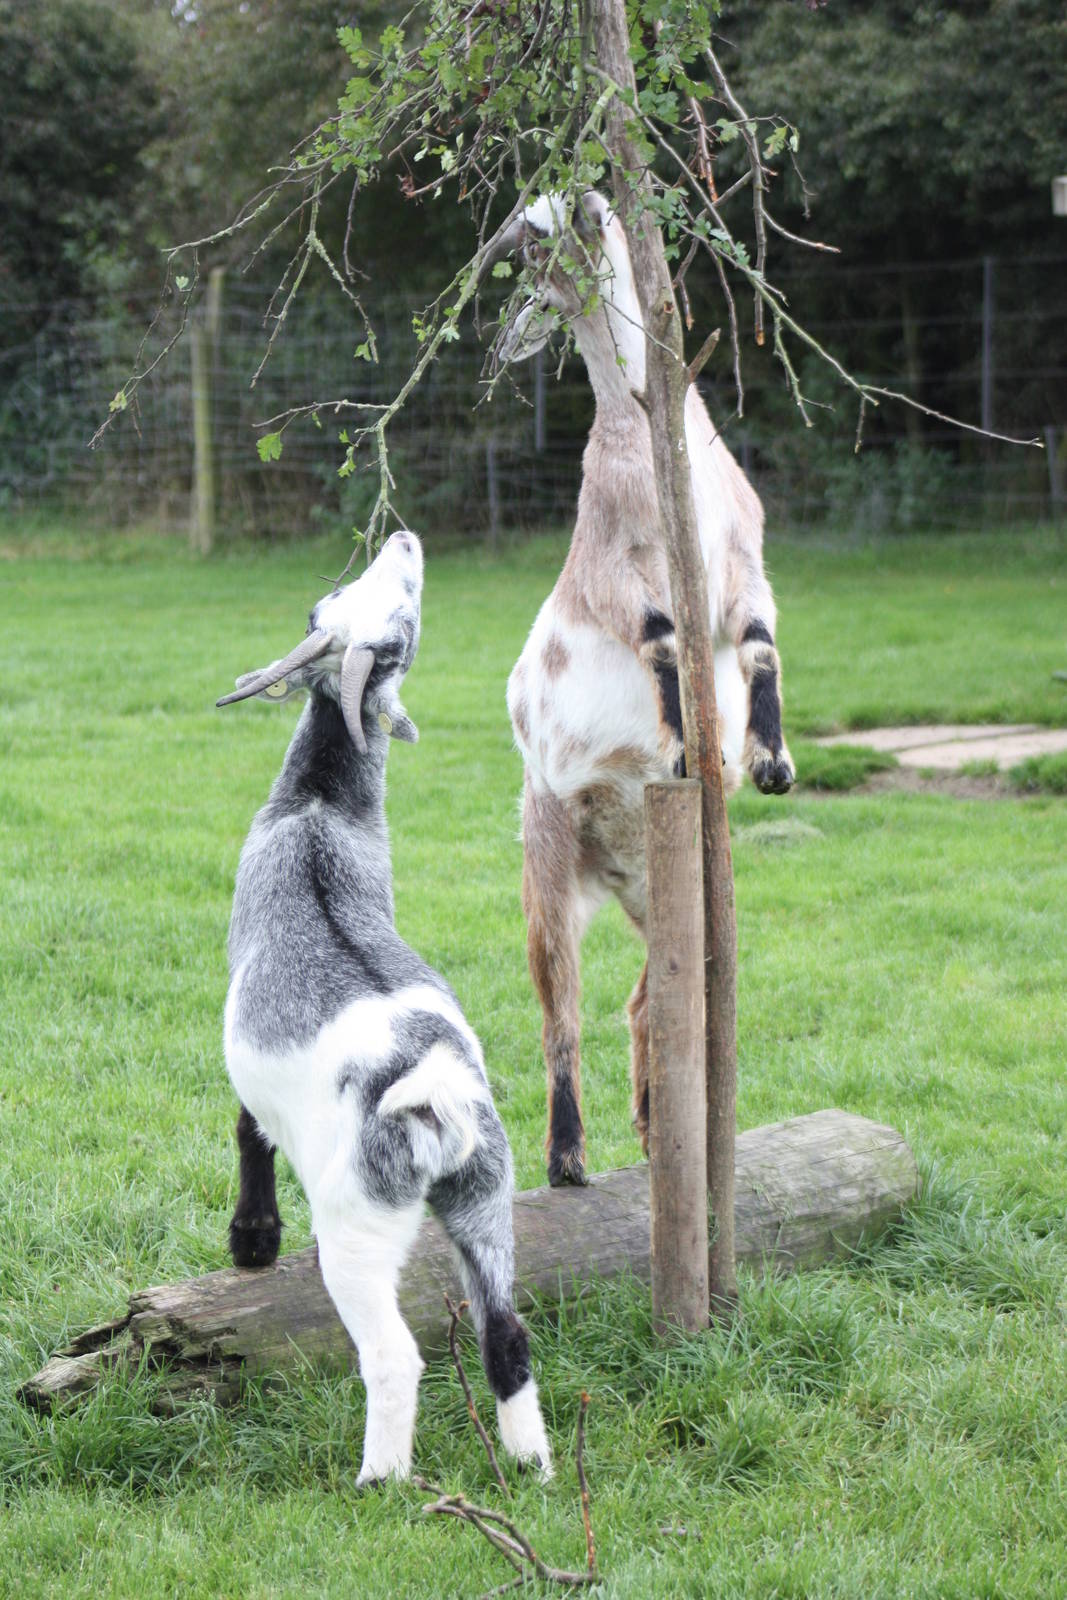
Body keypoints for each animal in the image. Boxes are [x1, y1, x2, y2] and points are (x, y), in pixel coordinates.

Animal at [217, 531, 551, 1485]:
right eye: (337, 598)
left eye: (400, 615)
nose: (402, 538)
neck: (317, 815)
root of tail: (431, 1092)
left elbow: (247, 1128)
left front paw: (251, 1240)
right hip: (487, 1199)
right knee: (506, 1332)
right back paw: (532, 1466)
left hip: (359, 1226)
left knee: (394, 1355)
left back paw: (380, 1479)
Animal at [492, 192, 794, 1187]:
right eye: (528, 237)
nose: (583, 201)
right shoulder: (619, 573)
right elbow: (662, 639)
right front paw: (679, 745)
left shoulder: (744, 559)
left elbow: (759, 651)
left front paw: (769, 761)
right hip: (547, 854)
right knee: (559, 1005)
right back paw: (567, 1157)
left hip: (675, 889)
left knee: (649, 998)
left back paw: (664, 1127)